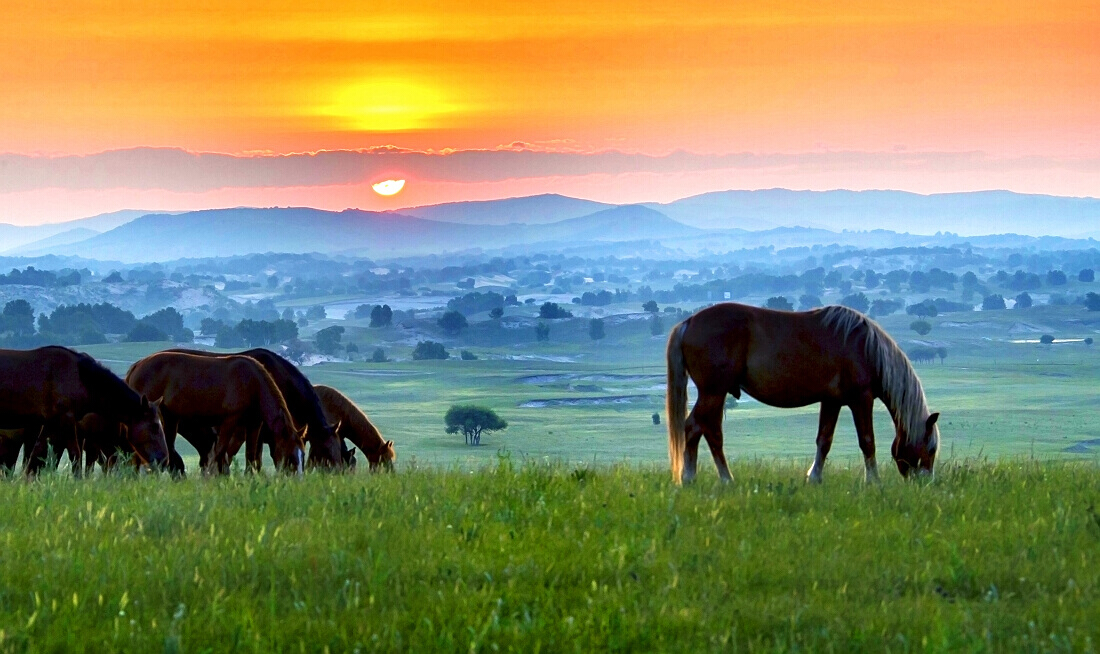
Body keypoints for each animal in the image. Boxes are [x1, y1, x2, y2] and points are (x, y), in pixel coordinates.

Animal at [0, 347, 167, 477]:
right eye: (154, 426)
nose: (164, 460)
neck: (80, 377)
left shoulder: (51, 423)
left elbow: (37, 454)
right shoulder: (66, 420)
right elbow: (75, 455)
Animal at [127, 353, 308, 477]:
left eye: (303, 454)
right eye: (291, 456)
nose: (298, 481)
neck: (252, 383)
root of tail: (137, 365)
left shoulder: (254, 424)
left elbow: (250, 455)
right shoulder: (230, 421)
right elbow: (220, 452)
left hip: (170, 417)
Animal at [664, 305, 941, 483]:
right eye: (931, 448)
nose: (926, 482)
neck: (865, 347)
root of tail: (689, 322)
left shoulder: (832, 401)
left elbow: (824, 440)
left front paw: (814, 477)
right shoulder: (860, 400)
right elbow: (867, 441)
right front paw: (873, 481)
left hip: (714, 394)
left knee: (702, 430)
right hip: (713, 392)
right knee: (699, 428)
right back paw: (712, 478)